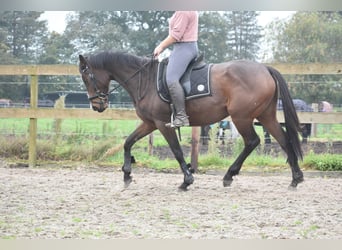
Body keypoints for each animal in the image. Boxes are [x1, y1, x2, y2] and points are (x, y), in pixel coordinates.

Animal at [78, 51, 304, 190]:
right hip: (266, 115)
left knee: (252, 142)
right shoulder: (150, 123)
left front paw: (187, 180)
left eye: (86, 77)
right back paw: (296, 178)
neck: (146, 80)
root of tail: (265, 68)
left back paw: (229, 175)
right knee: (284, 140)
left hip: (241, 117)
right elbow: (128, 142)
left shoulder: (162, 124)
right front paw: (126, 174)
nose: (96, 105)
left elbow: (177, 151)